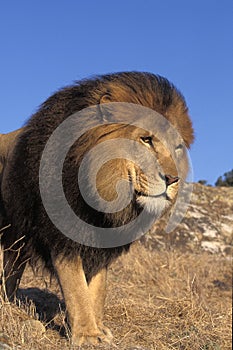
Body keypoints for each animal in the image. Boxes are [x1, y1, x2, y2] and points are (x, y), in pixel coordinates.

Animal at [0, 72, 193, 346]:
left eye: (177, 148)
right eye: (146, 140)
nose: (173, 179)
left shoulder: (102, 245)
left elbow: (97, 290)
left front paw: (98, 328)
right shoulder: (64, 238)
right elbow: (77, 289)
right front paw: (88, 335)